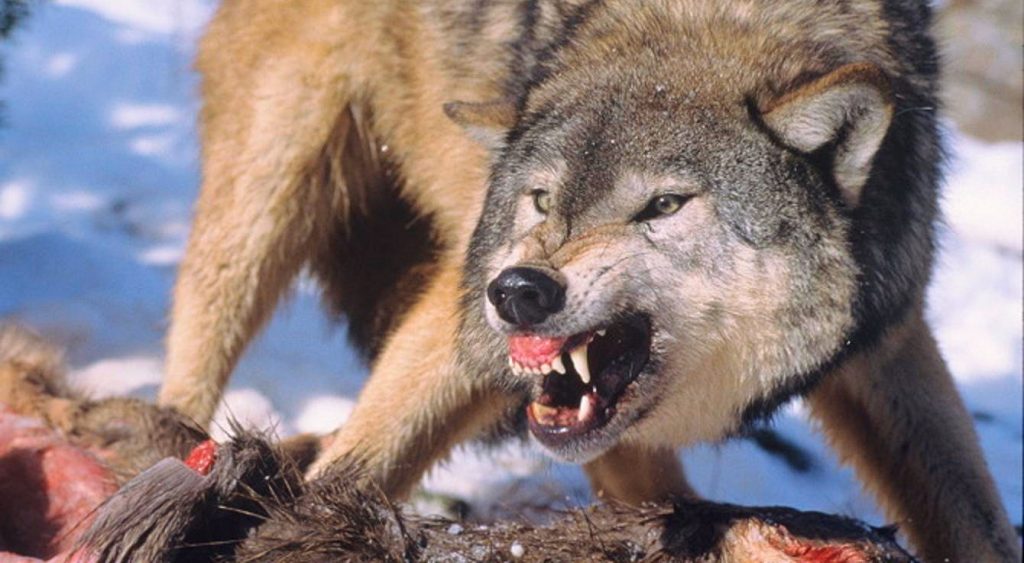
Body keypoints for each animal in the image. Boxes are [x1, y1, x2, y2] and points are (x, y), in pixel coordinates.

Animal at [158, 0, 1019, 560]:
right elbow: (355, 463)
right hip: (268, 194)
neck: (704, 25)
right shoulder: (458, 315)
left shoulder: (890, 338)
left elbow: (977, 520)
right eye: (542, 199)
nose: (517, 291)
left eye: (664, 205)